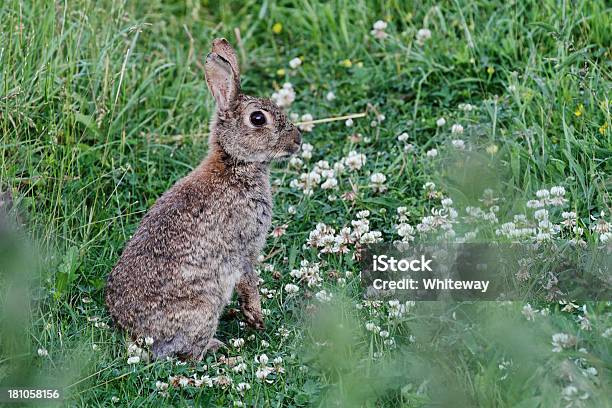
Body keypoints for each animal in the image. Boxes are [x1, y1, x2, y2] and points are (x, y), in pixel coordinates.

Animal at [107, 36, 304, 358]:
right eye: (258, 118)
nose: (297, 140)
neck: (234, 163)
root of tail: (137, 337)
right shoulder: (244, 248)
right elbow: (249, 282)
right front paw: (256, 317)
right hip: (204, 308)